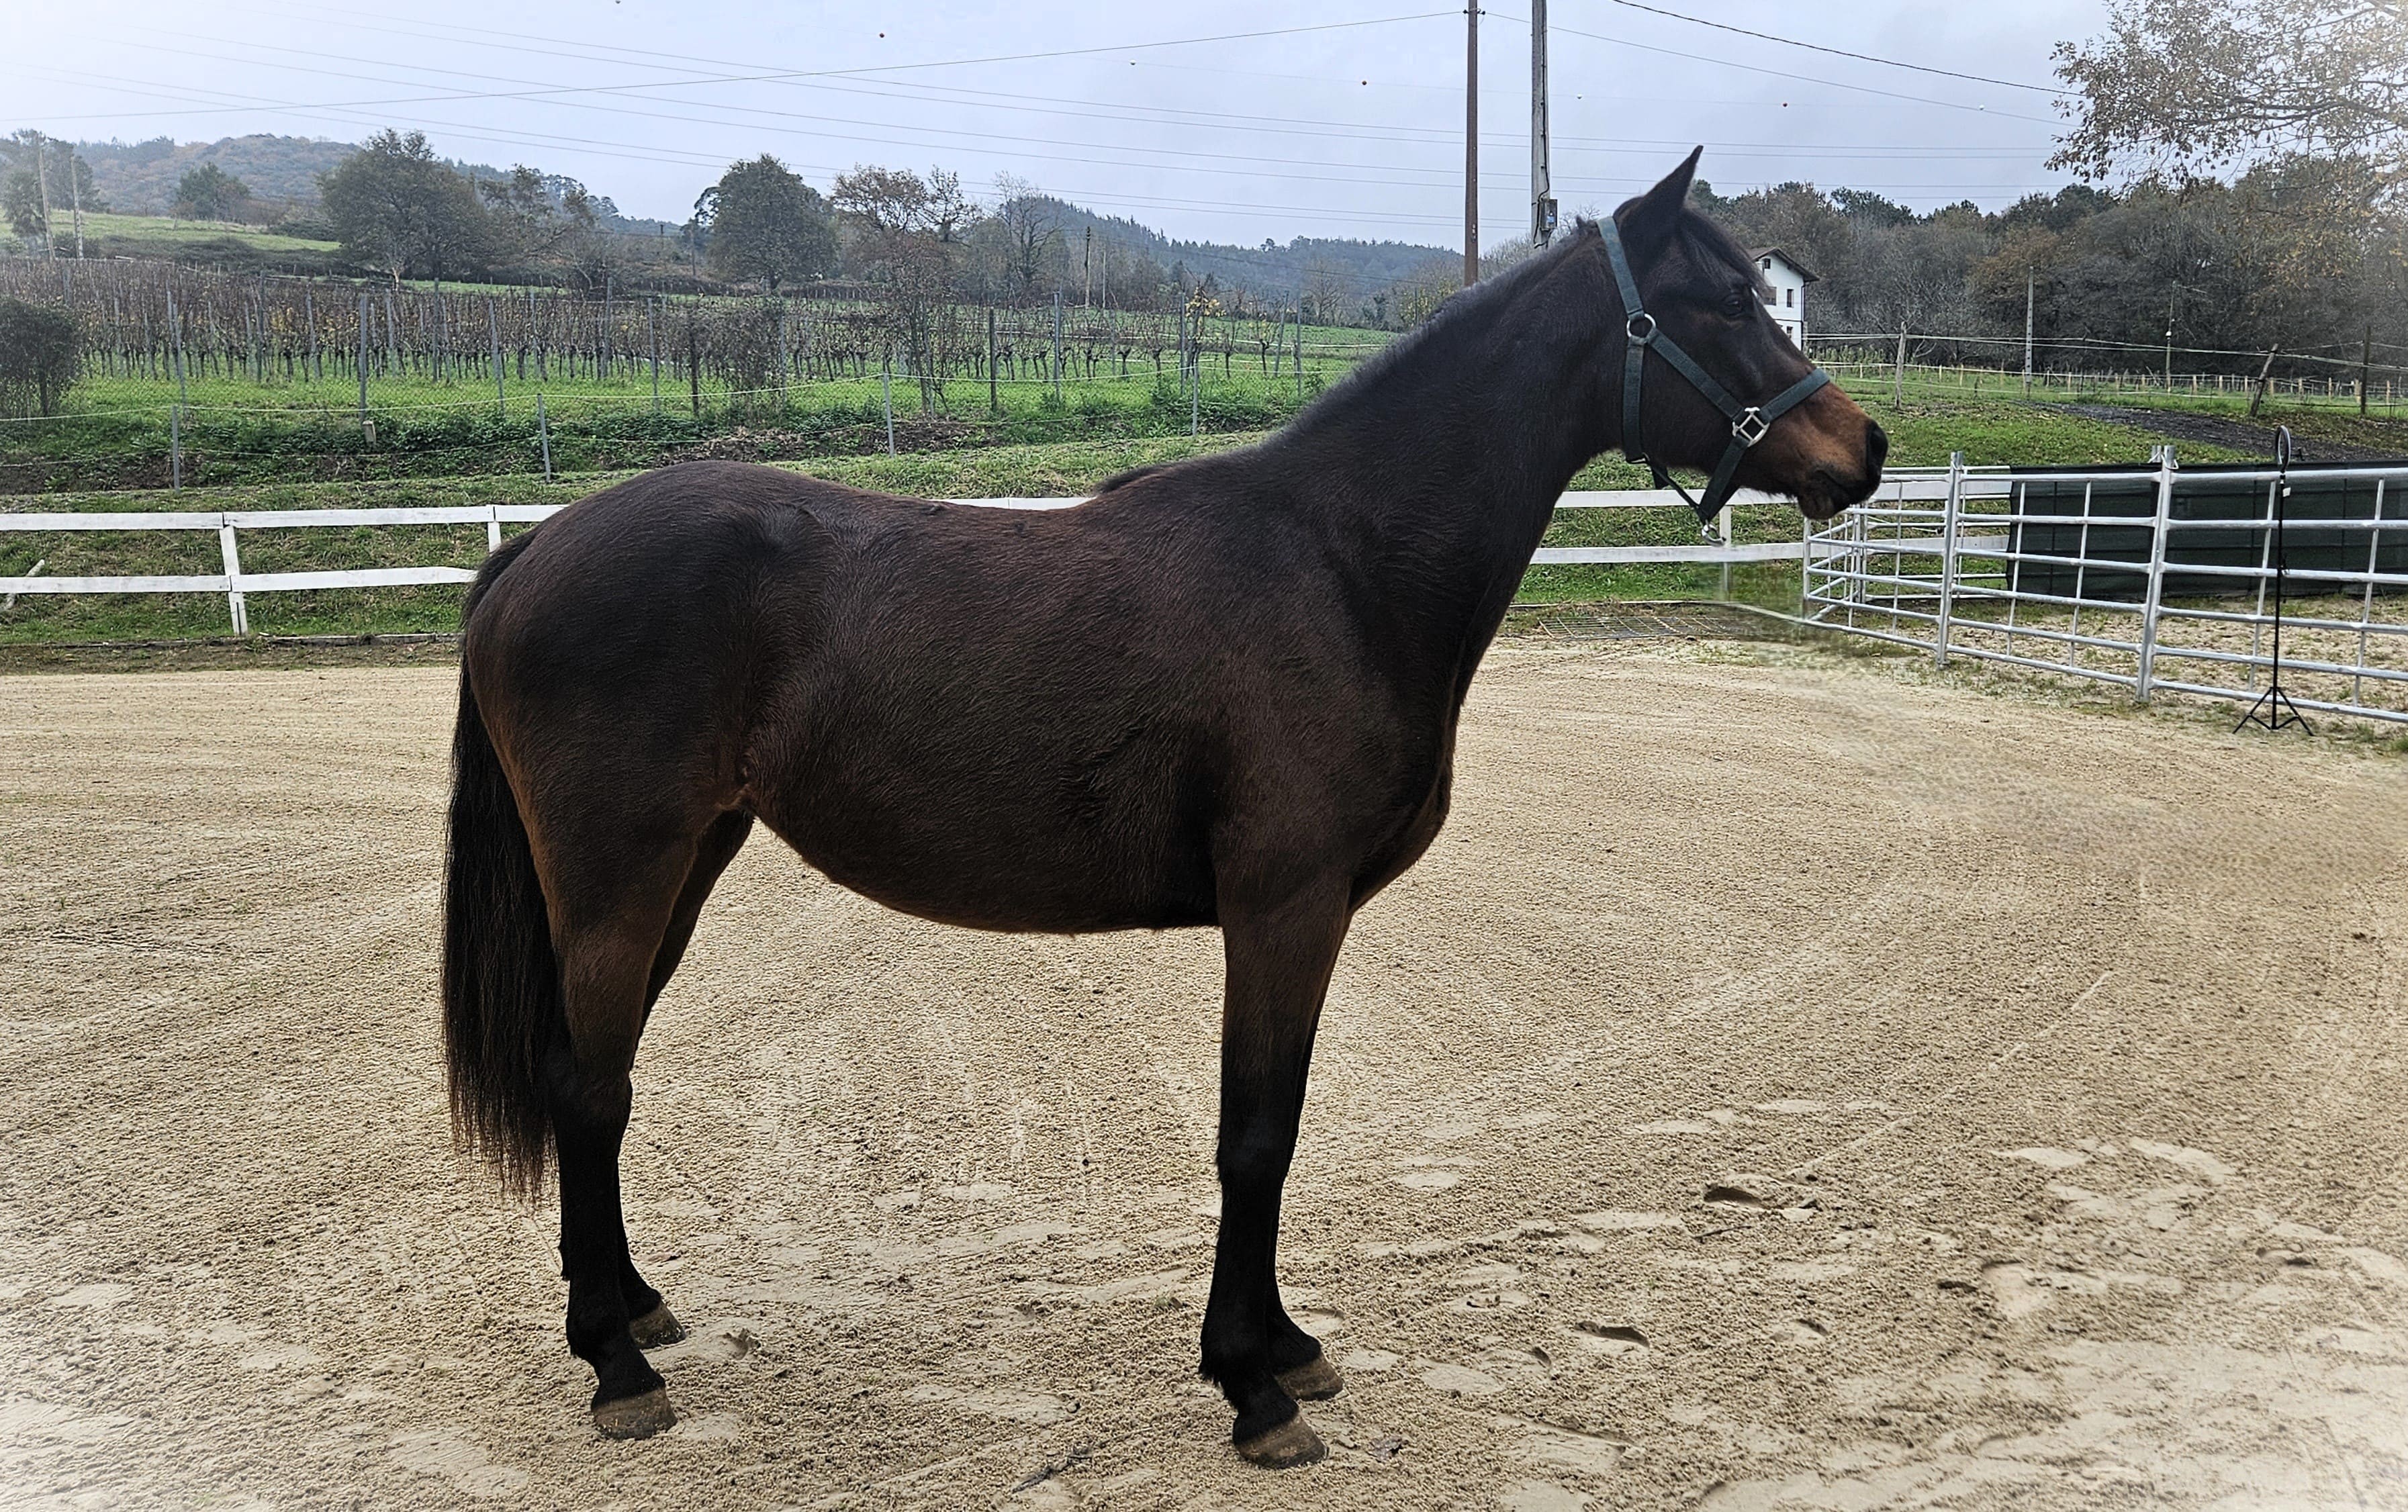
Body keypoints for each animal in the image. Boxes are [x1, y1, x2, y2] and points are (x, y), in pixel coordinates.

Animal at [440, 150, 1886, 1468]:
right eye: (1719, 304)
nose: (1864, 446)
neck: (1341, 561)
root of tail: (534, 549)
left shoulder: (1301, 915)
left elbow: (1277, 1128)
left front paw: (1286, 1347)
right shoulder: (1284, 904)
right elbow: (1255, 1138)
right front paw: (1250, 1386)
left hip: (684, 863)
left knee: (601, 1077)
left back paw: (635, 1309)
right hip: (620, 874)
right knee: (586, 1088)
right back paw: (616, 1364)